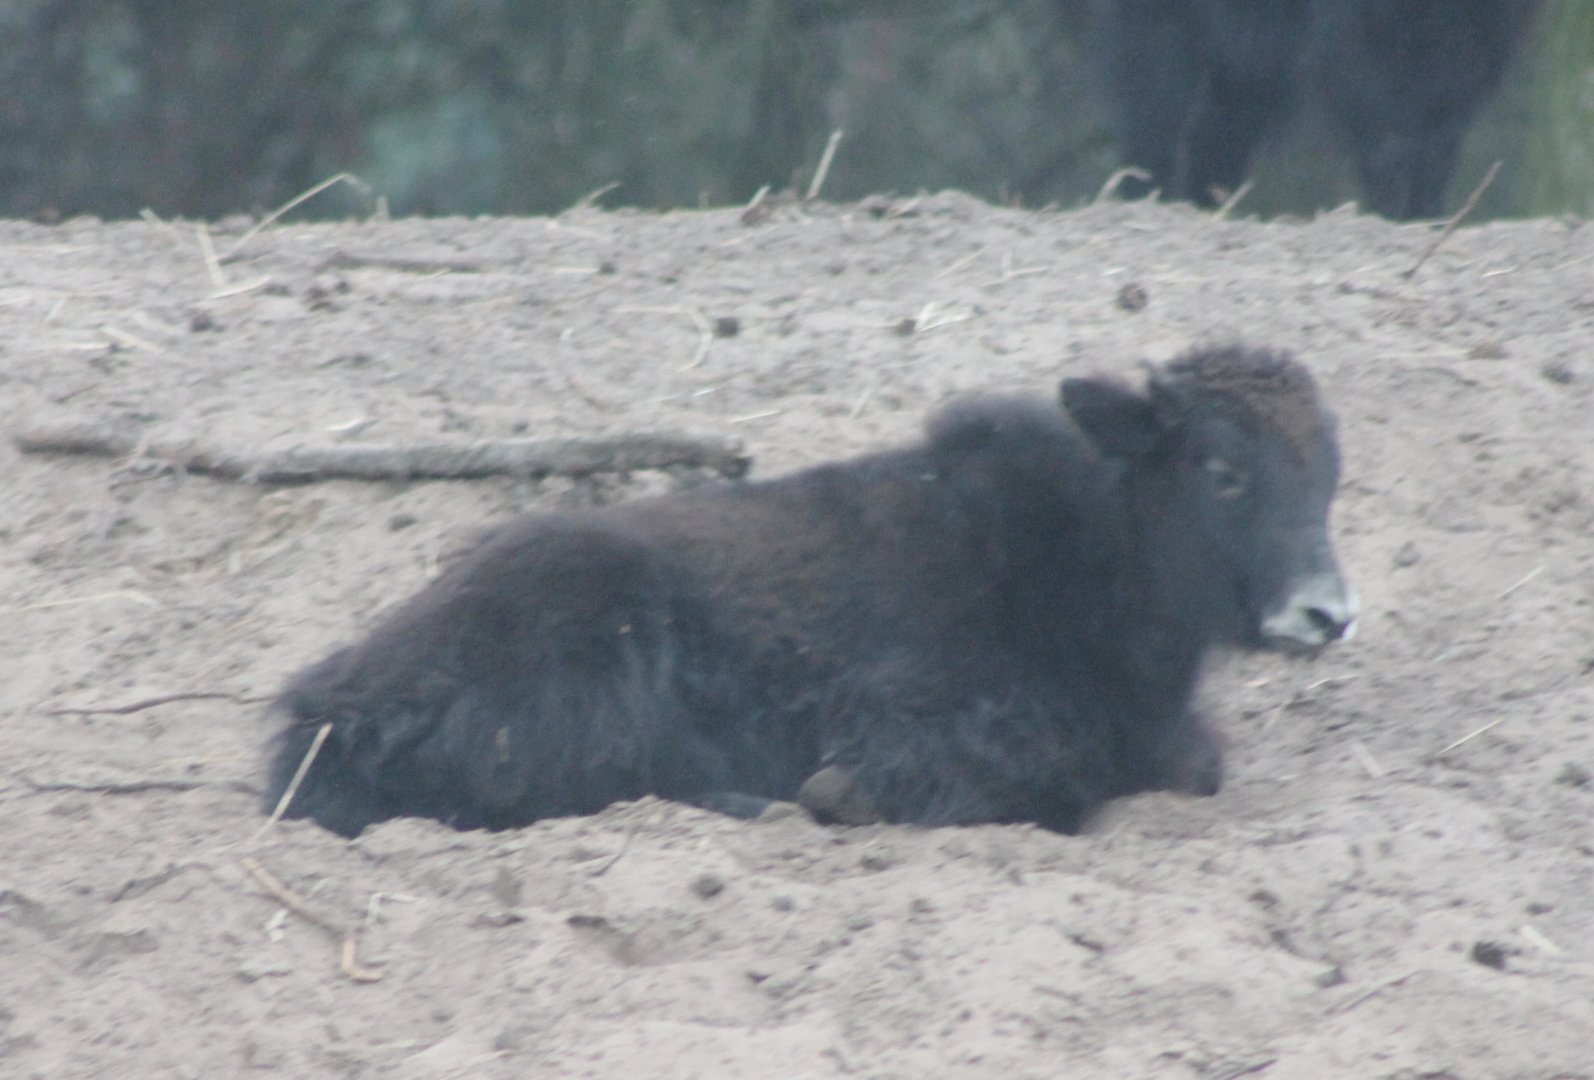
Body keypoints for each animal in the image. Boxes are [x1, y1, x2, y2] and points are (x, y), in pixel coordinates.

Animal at [1094, 0, 1541, 220]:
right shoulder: (1353, 43)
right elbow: (1386, 136)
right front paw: (1391, 212)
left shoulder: (1477, 51)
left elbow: (1439, 144)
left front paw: (1426, 215)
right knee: (1155, 111)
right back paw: (1146, 199)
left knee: (1223, 125)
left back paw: (1209, 204)